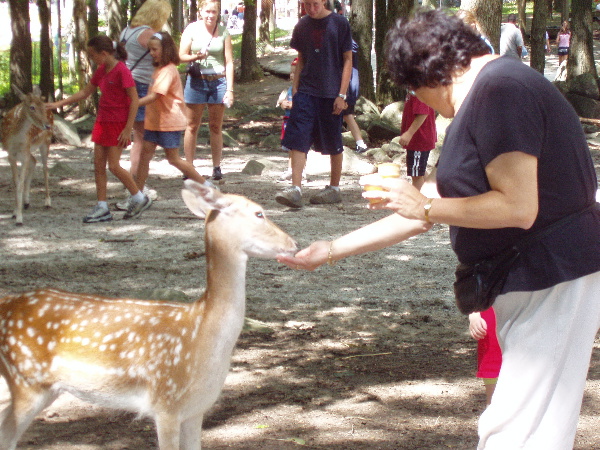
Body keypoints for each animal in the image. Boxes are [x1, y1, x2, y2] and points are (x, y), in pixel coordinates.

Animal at [0, 180, 298, 450]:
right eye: (259, 213)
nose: (294, 244)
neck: (201, 332)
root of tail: (7, 304)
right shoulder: (166, 403)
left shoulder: (196, 409)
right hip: (26, 380)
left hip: (43, 387)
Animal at [1, 85, 53, 225]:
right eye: (32, 107)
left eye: (42, 106)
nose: (47, 125)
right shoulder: (11, 155)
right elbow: (16, 183)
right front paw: (15, 212)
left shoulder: (23, 154)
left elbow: (20, 183)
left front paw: (19, 218)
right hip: (29, 149)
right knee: (34, 161)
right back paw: (26, 202)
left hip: (45, 142)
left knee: (45, 168)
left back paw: (47, 202)